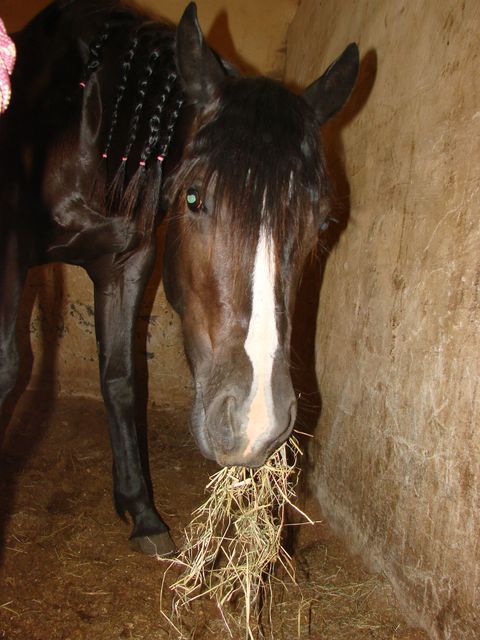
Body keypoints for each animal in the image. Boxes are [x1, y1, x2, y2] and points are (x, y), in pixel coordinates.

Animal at [0, 0, 358, 556]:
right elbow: (8, 367)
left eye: (321, 223)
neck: (86, 128)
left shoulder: (126, 264)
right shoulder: (12, 250)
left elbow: (121, 378)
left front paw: (141, 511)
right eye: (193, 198)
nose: (255, 422)